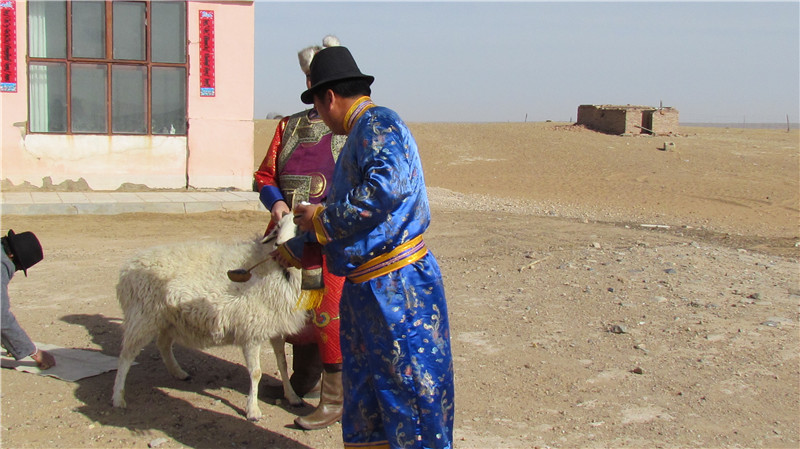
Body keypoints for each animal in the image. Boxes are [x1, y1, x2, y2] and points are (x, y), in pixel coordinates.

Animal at [109, 214, 304, 420]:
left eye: (299, 227)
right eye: (278, 226)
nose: (279, 245)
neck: (277, 270)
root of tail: (127, 267)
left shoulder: (276, 328)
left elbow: (283, 364)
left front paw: (292, 396)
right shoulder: (251, 330)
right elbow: (256, 373)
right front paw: (253, 410)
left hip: (167, 318)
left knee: (162, 344)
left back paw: (178, 372)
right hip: (141, 318)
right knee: (125, 357)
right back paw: (118, 397)